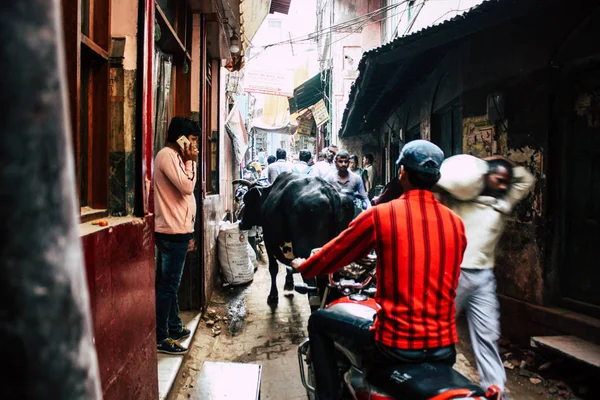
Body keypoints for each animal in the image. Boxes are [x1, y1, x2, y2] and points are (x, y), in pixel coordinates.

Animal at [240, 170, 354, 304]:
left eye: (247, 200)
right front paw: (289, 281)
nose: (241, 223)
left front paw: (273, 295)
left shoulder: (269, 240)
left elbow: (274, 268)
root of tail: (328, 190)